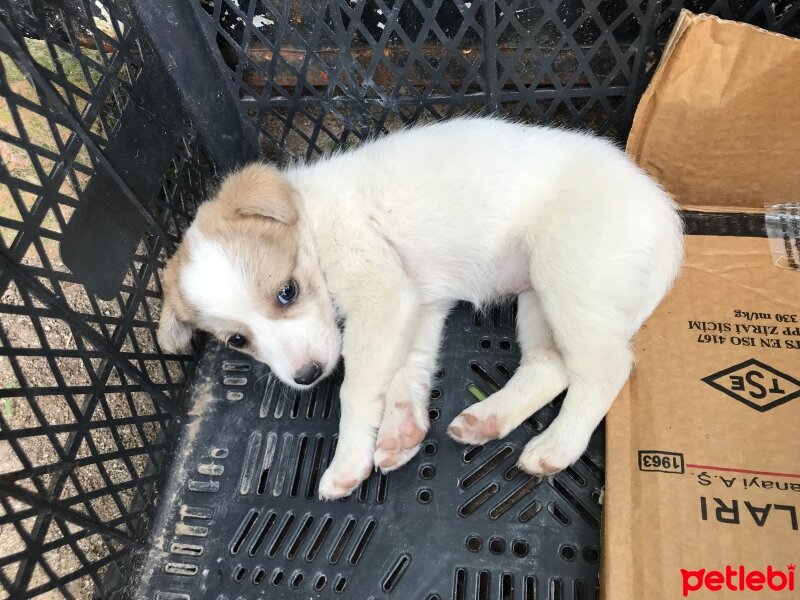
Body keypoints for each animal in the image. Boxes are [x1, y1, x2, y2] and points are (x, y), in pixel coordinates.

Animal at [156, 115, 680, 500]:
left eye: (287, 292)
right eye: (237, 340)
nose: (306, 376)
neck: (315, 221)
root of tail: (668, 219)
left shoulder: (382, 297)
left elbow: (357, 389)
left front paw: (349, 462)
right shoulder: (420, 304)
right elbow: (409, 371)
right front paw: (400, 432)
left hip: (568, 281)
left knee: (606, 368)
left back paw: (557, 445)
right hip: (538, 298)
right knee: (552, 366)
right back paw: (488, 419)